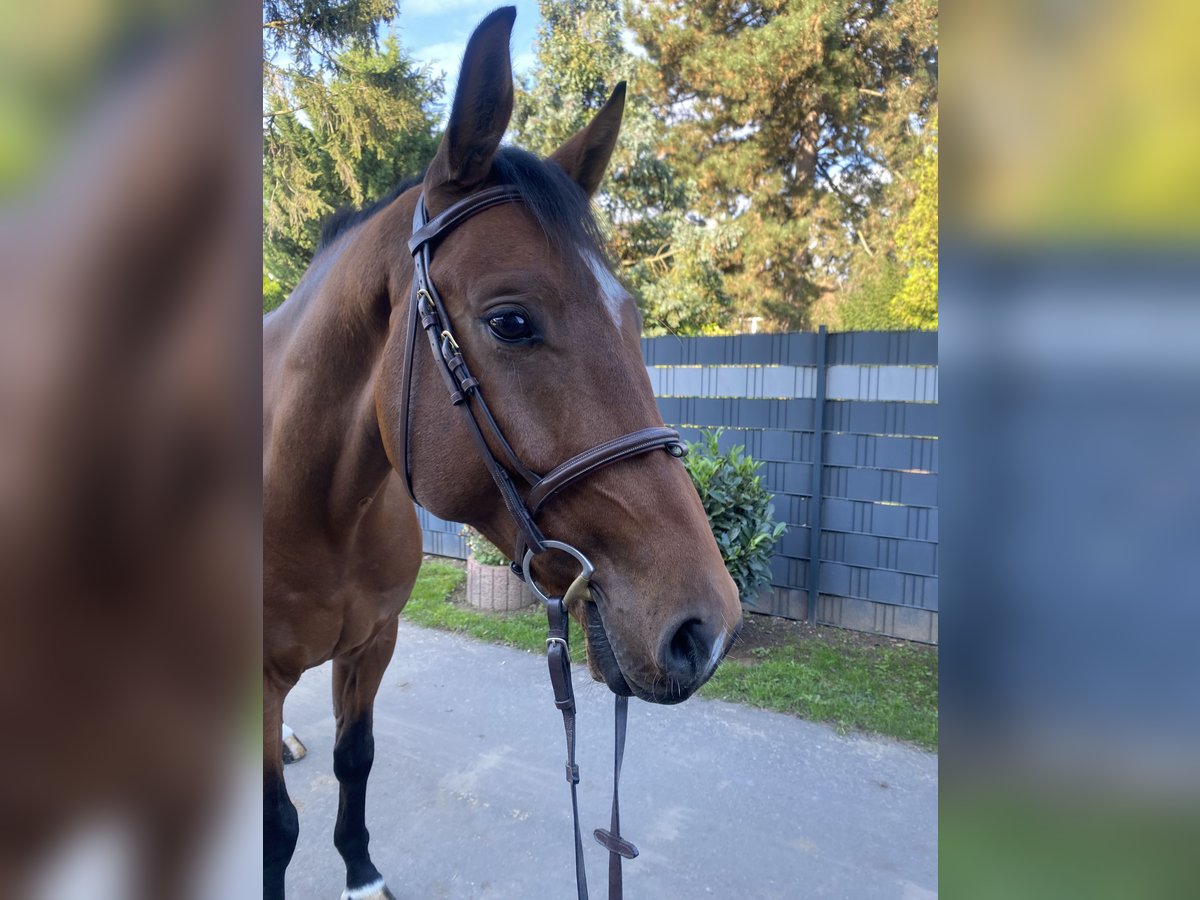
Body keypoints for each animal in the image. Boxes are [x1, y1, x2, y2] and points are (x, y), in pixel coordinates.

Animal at [262, 8, 739, 900]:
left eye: (631, 315)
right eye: (511, 321)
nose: (708, 629)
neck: (317, 508)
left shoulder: (374, 643)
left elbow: (355, 758)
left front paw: (361, 872)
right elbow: (276, 828)